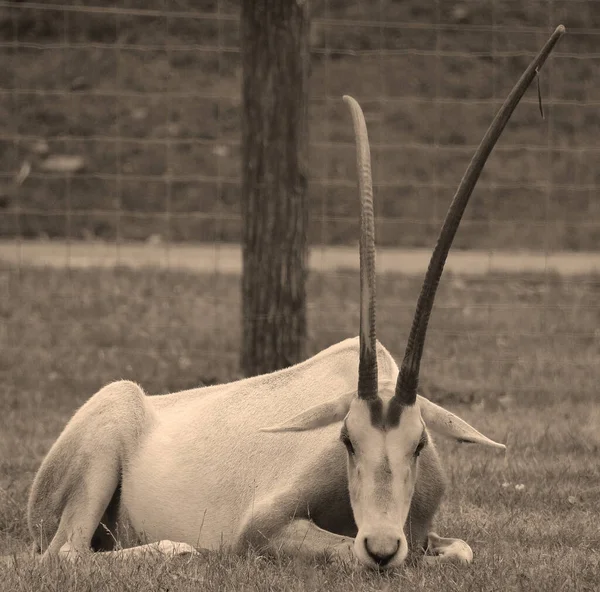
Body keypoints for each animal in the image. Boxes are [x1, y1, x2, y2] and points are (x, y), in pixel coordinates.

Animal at [18, 26, 564, 568]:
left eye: (419, 444)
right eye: (347, 440)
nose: (383, 547)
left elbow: (462, 551)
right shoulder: (261, 528)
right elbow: (338, 549)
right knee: (67, 553)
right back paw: (176, 547)